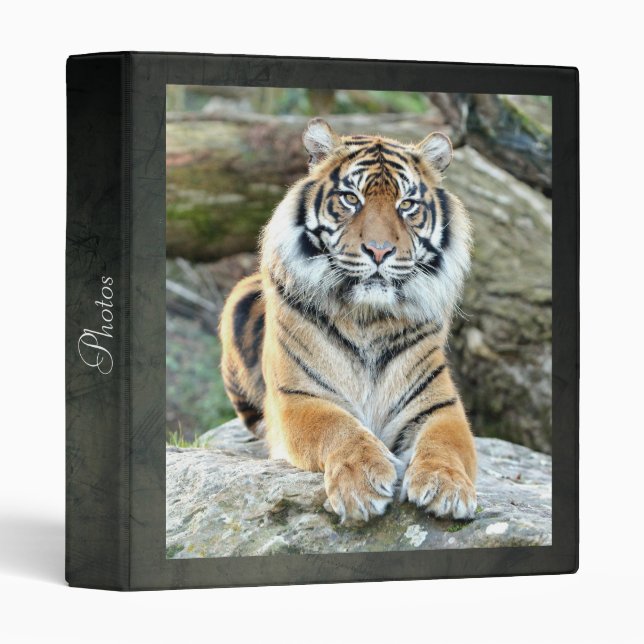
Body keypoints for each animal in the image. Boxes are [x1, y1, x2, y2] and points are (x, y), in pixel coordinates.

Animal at [219, 118, 476, 523]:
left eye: (406, 205)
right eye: (351, 199)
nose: (379, 251)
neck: (367, 317)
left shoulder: (438, 405)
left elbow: (445, 444)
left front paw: (447, 486)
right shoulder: (300, 396)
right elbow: (338, 427)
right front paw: (363, 481)